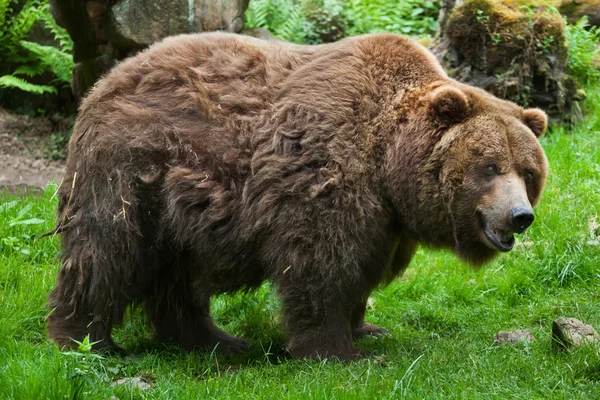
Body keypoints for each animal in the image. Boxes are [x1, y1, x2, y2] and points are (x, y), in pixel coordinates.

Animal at [47, 32, 548, 360]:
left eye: (528, 171)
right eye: (489, 166)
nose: (519, 215)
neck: (387, 160)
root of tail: (101, 82)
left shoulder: (385, 218)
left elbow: (363, 267)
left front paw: (367, 328)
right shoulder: (325, 173)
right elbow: (320, 263)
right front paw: (337, 350)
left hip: (179, 204)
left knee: (176, 274)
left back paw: (214, 338)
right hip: (134, 167)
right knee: (107, 250)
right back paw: (85, 340)